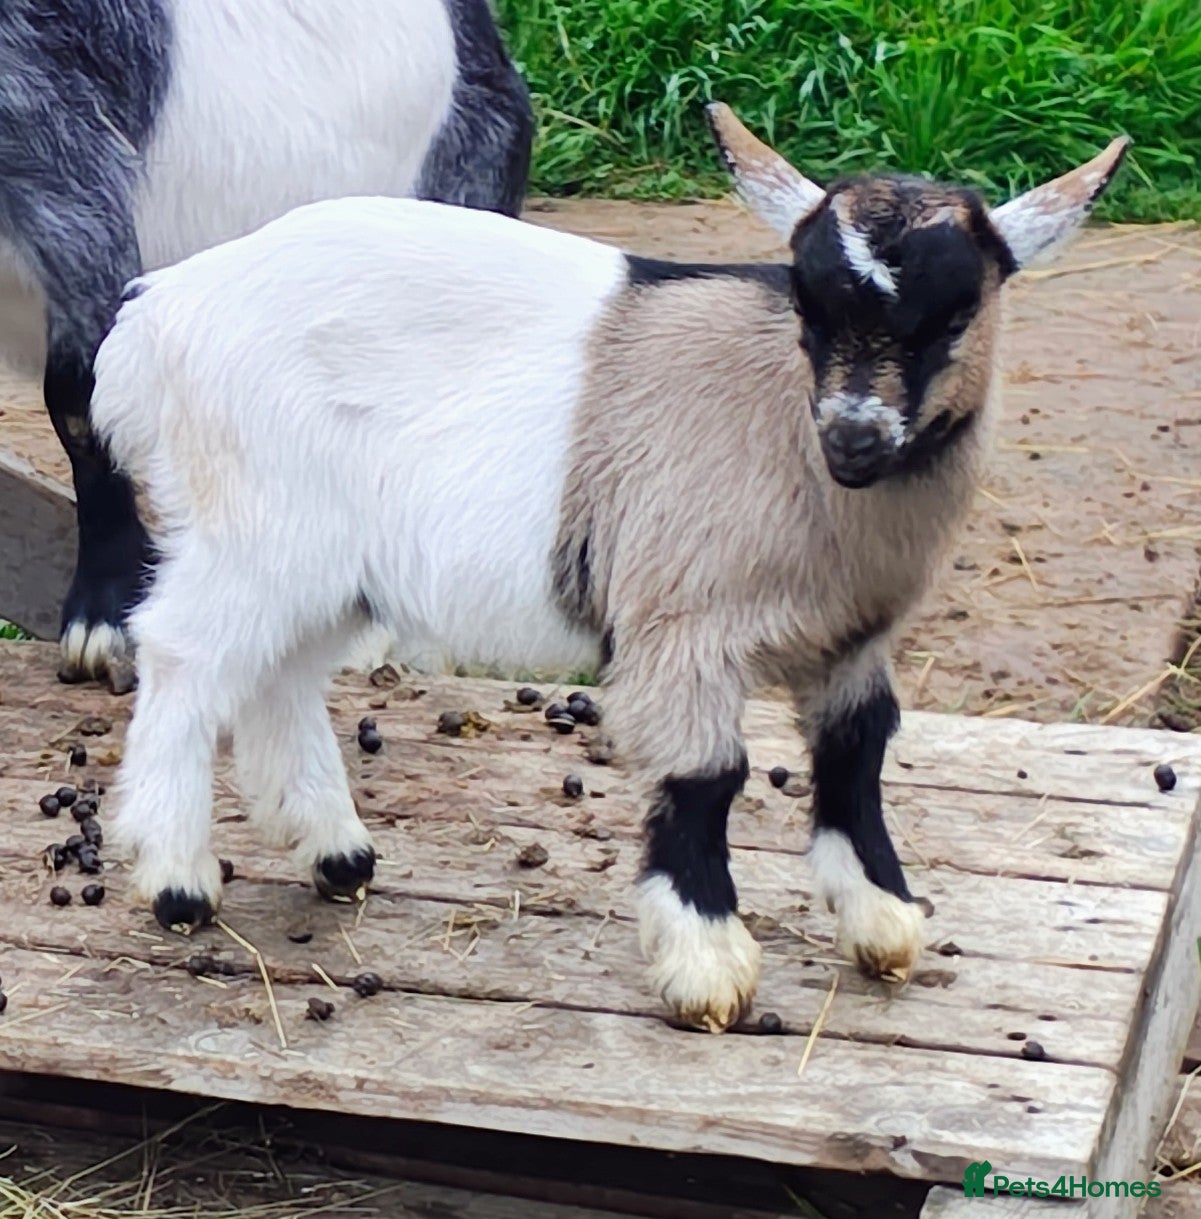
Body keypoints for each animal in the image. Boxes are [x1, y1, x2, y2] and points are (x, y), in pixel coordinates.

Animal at [90, 104, 1128, 1032]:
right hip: (255, 519)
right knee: (185, 653)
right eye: (808, 301)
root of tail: (158, 313)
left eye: (957, 312)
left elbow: (858, 749)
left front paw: (880, 917)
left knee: (281, 671)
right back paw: (178, 877)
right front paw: (705, 965)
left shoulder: (850, 635)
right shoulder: (682, 623)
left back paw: (334, 852)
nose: (853, 437)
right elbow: (706, 774)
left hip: (322, 553)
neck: (782, 427)